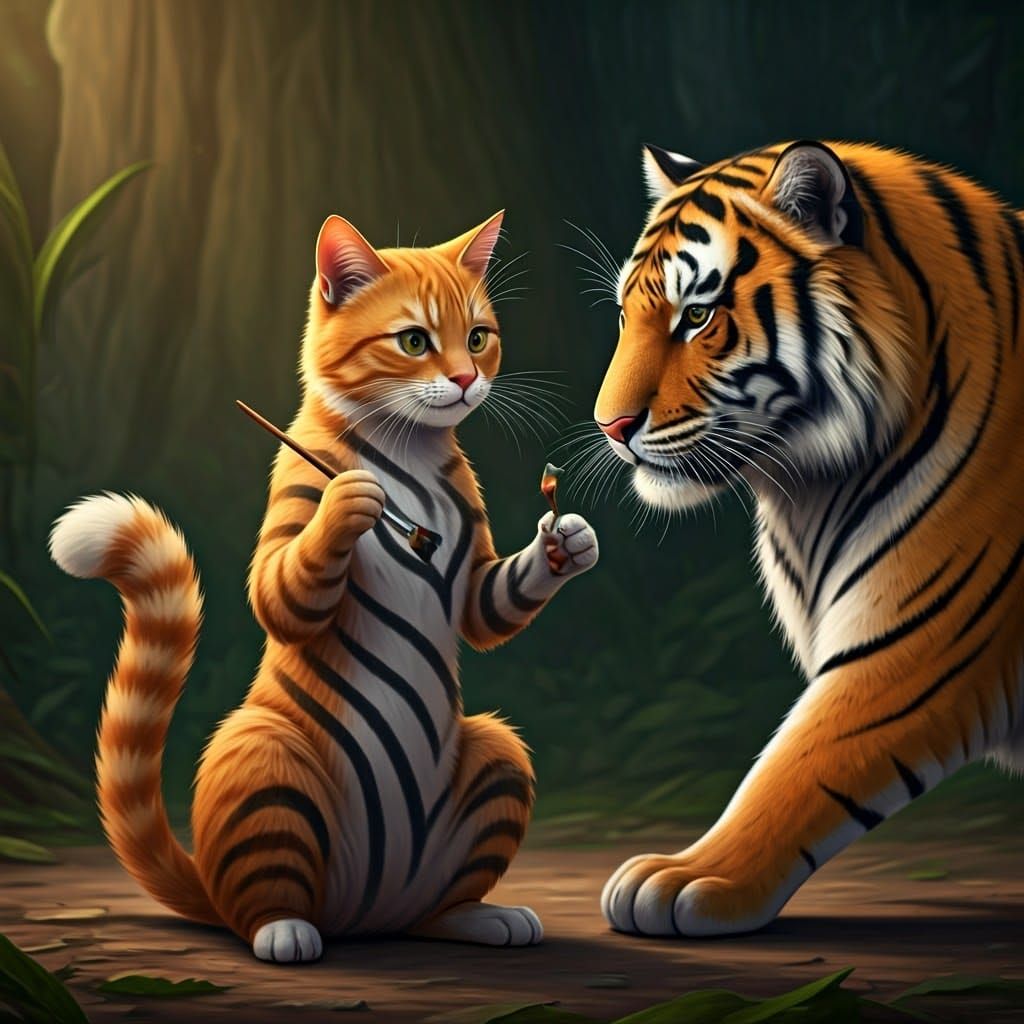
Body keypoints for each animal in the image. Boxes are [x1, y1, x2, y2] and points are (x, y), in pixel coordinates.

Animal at [49, 211, 599, 961]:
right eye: (415, 341)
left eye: (478, 338)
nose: (465, 379)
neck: (407, 447)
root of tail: (370, 914)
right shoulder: (290, 520)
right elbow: (286, 587)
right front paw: (350, 501)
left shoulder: (477, 578)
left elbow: (492, 604)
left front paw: (567, 540)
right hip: (265, 759)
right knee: (262, 900)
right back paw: (285, 932)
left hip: (499, 753)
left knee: (435, 906)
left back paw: (479, 918)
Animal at [593, 139, 1023, 937]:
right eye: (625, 314)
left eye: (697, 315)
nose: (610, 426)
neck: (808, 492)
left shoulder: (913, 644)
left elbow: (794, 768)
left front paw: (685, 877)